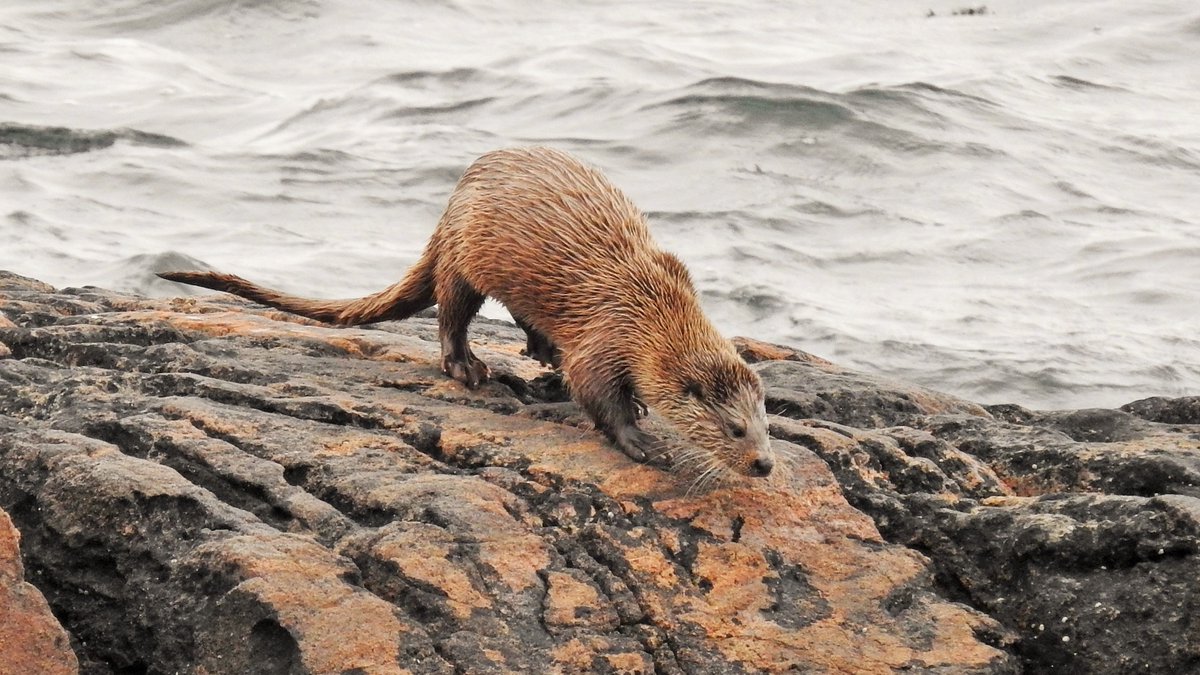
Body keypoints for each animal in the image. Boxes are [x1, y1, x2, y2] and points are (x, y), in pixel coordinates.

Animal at [159, 147, 774, 478]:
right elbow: (594, 389)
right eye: (735, 429)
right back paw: (468, 367)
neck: (651, 311)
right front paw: (640, 440)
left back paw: (540, 351)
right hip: (463, 259)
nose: (765, 464)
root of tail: (453, 198)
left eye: (766, 425)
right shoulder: (606, 337)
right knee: (451, 314)